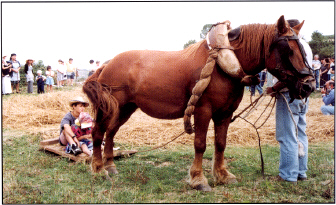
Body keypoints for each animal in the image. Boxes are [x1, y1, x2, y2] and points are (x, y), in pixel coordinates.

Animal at [83, 15, 316, 191]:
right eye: (289, 50)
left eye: (303, 50)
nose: (309, 86)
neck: (222, 63)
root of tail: (107, 65)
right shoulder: (203, 110)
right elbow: (200, 144)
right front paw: (198, 179)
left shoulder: (224, 113)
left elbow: (220, 144)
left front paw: (222, 175)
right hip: (110, 109)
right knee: (98, 133)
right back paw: (99, 170)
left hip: (125, 109)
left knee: (111, 133)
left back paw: (110, 166)